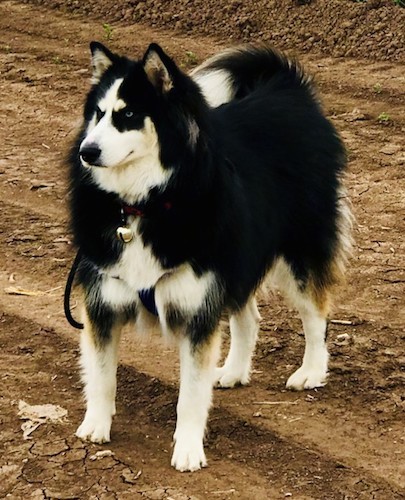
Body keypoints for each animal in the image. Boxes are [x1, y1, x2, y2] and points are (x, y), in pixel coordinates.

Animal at [68, 41, 350, 470]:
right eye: (98, 114)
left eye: (128, 114)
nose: (87, 151)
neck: (143, 206)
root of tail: (286, 89)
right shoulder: (103, 301)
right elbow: (101, 375)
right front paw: (95, 427)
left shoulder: (197, 308)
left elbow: (191, 394)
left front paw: (187, 449)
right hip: (234, 256)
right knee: (248, 316)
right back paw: (233, 371)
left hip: (298, 248)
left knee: (315, 312)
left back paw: (312, 372)